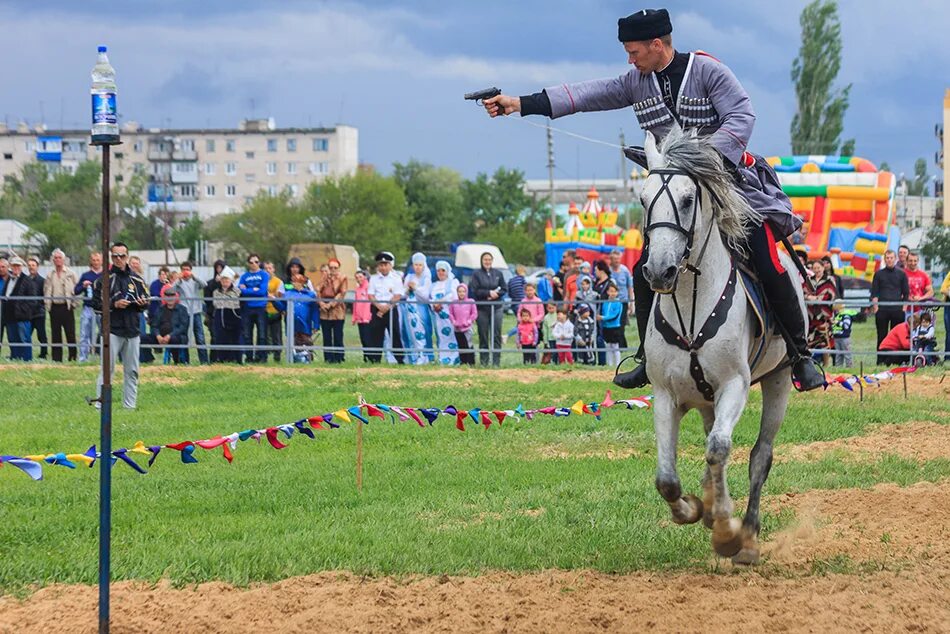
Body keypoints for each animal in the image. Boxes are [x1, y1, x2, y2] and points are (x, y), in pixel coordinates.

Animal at [640, 126, 804, 560]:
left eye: (688, 199)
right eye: (643, 199)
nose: (659, 270)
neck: (691, 307)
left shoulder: (735, 385)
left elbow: (719, 449)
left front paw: (726, 529)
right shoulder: (665, 394)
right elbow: (667, 477)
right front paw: (695, 509)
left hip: (779, 380)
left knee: (758, 456)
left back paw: (746, 533)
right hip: (705, 400)